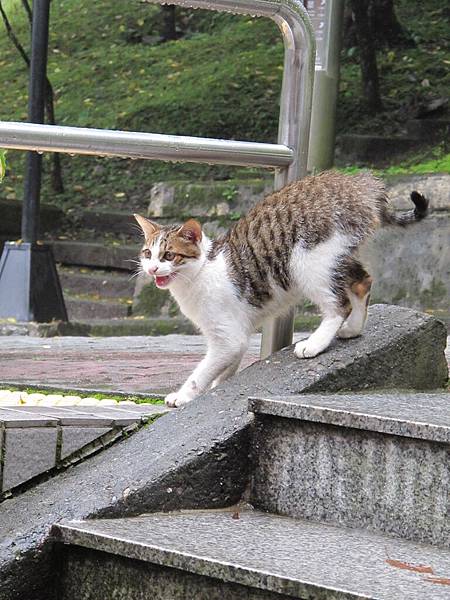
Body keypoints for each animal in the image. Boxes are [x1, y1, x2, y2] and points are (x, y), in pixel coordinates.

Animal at [134, 171, 428, 410]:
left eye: (169, 255)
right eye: (148, 253)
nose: (152, 269)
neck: (202, 271)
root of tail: (358, 185)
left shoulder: (226, 335)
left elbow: (206, 369)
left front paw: (184, 395)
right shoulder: (235, 332)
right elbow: (229, 363)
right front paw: (221, 385)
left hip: (307, 259)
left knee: (339, 304)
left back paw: (316, 343)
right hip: (337, 255)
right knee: (363, 281)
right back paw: (353, 328)